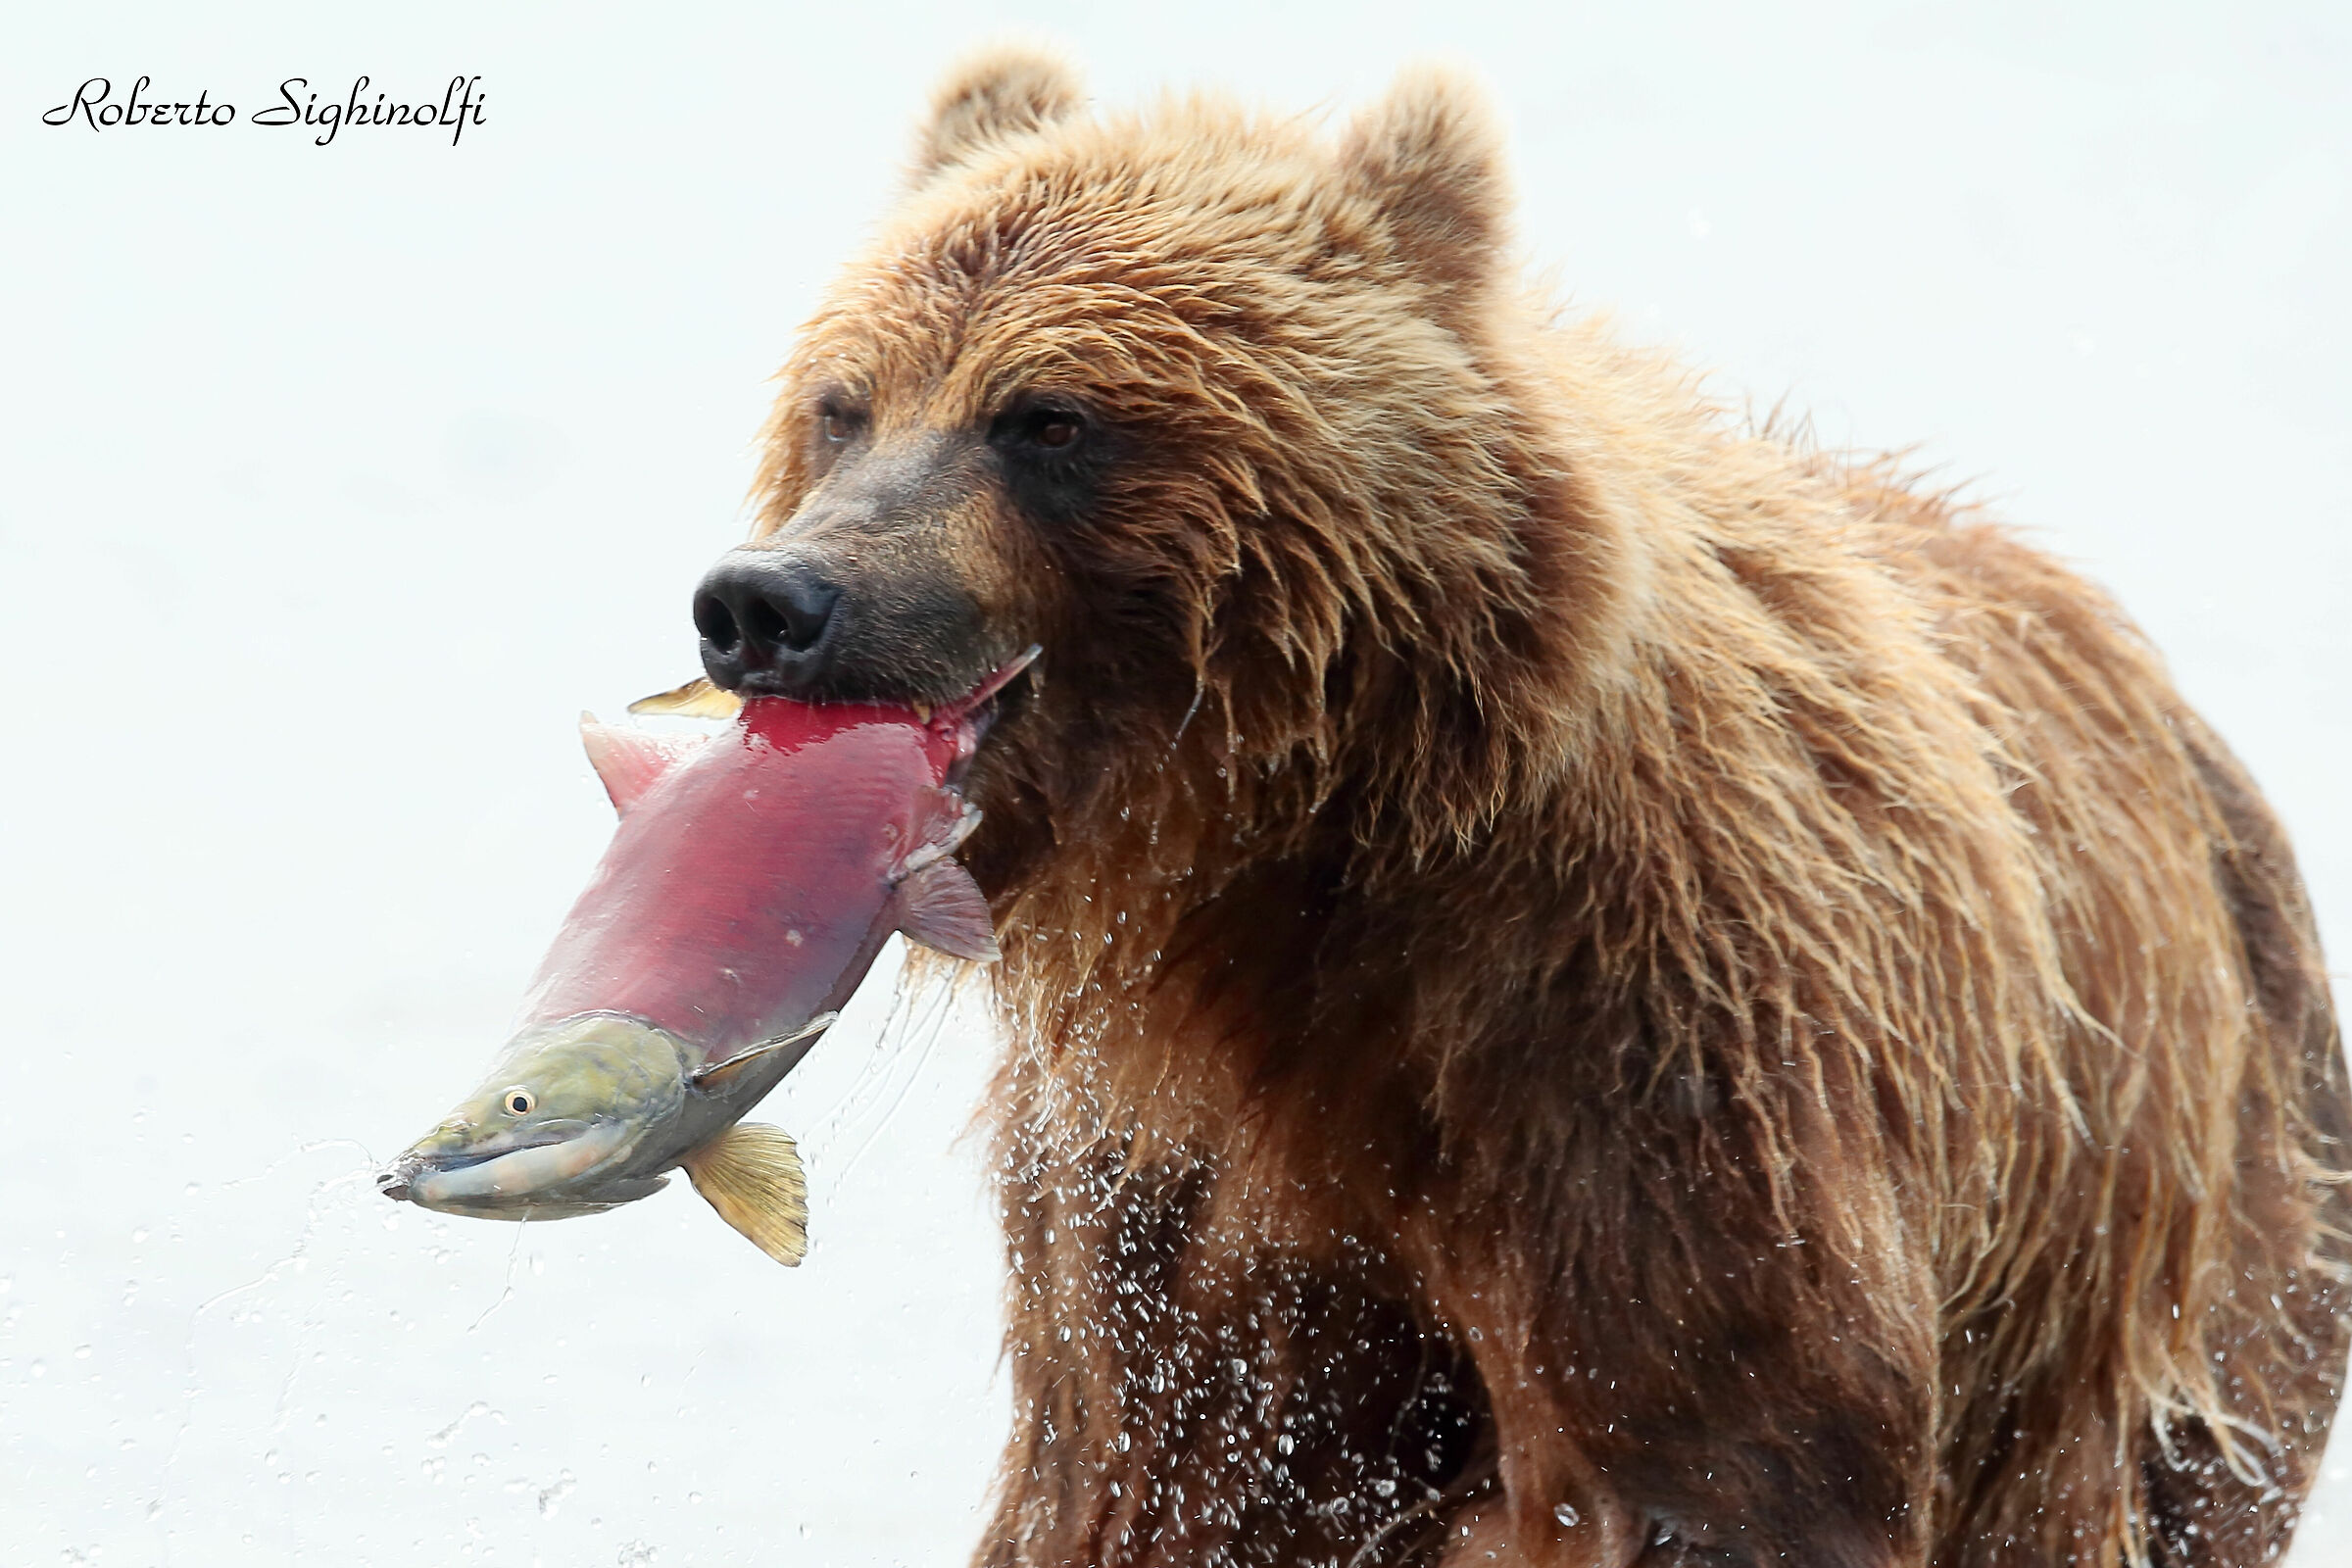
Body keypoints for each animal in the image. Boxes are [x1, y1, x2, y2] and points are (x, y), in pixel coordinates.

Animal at [680, 51, 2349, 1568]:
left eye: (1046, 417)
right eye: (845, 403)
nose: (776, 602)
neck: (1280, 863)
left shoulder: (1639, 1037)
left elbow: (1719, 1456)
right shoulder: (1165, 1191)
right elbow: (1152, 1480)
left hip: (2169, 1270)